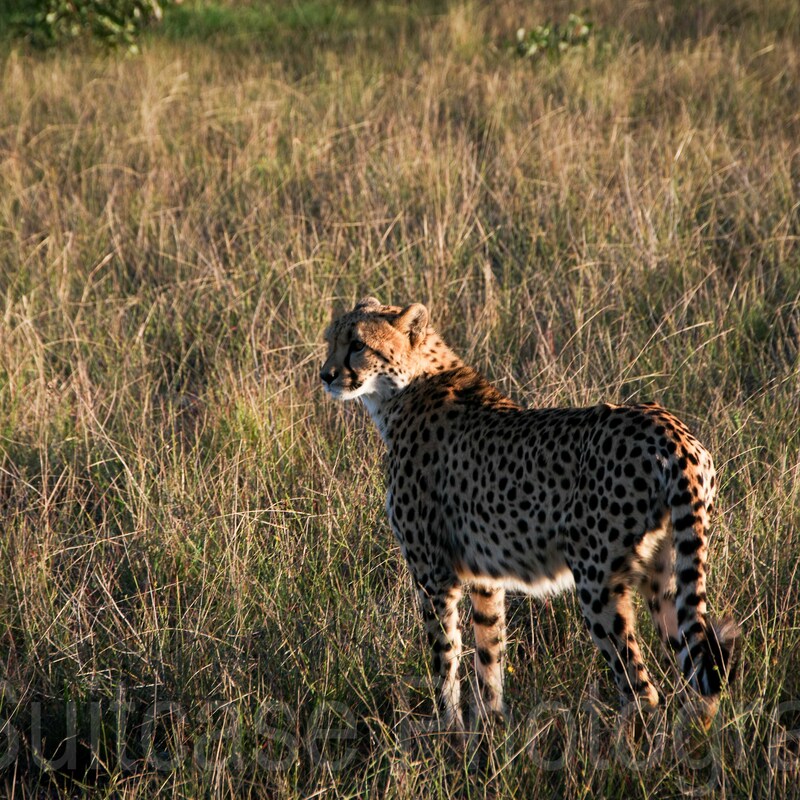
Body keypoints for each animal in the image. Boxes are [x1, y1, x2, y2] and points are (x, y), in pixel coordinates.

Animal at [320, 296, 739, 730]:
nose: (326, 375)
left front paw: (446, 730)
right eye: (331, 340)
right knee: (699, 673)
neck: (406, 388)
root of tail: (673, 431)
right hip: (667, 575)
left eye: (358, 344)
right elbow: (489, 653)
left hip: (597, 581)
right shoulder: (484, 577)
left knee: (642, 690)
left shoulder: (434, 574)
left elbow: (445, 658)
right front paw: (490, 726)